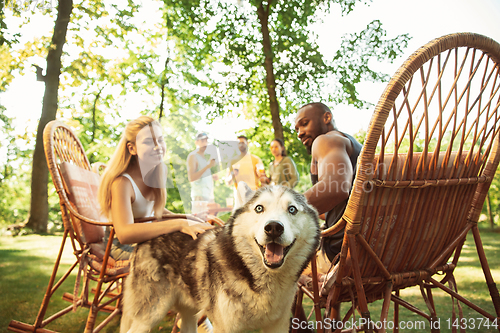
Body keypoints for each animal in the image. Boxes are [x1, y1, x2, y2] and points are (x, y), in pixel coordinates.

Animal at [120, 183, 320, 330]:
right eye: (259, 208)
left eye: (292, 209)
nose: (273, 227)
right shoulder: (226, 327)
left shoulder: (277, 326)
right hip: (151, 316)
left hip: (188, 314)